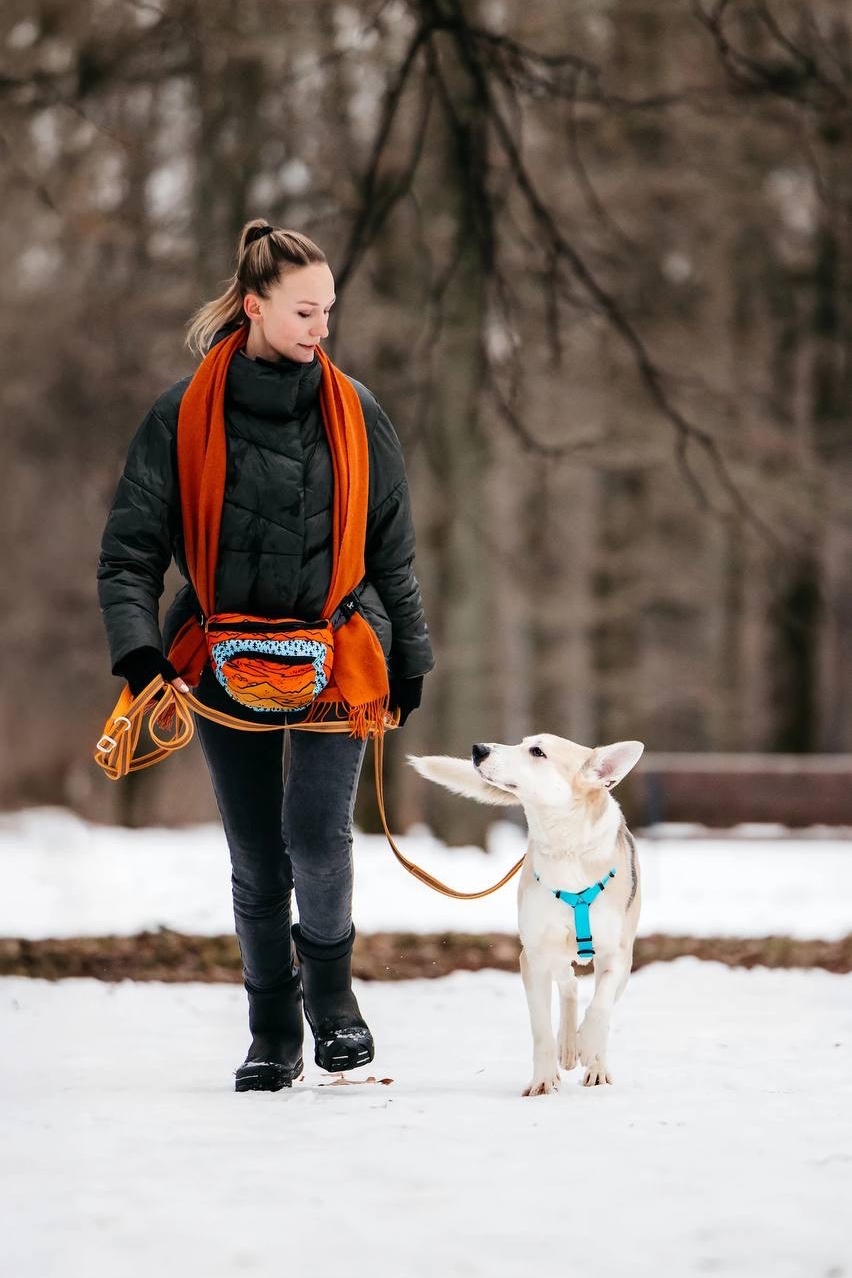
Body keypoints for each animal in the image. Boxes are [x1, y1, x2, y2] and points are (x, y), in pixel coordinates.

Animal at [409, 735, 643, 1095]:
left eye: (537, 752)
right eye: (524, 743)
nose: (478, 749)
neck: (565, 849)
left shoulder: (615, 954)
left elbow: (600, 1005)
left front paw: (589, 1044)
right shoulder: (532, 957)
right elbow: (541, 1029)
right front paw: (544, 1081)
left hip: (621, 963)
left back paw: (594, 1063)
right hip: (552, 953)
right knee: (569, 983)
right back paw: (567, 1046)